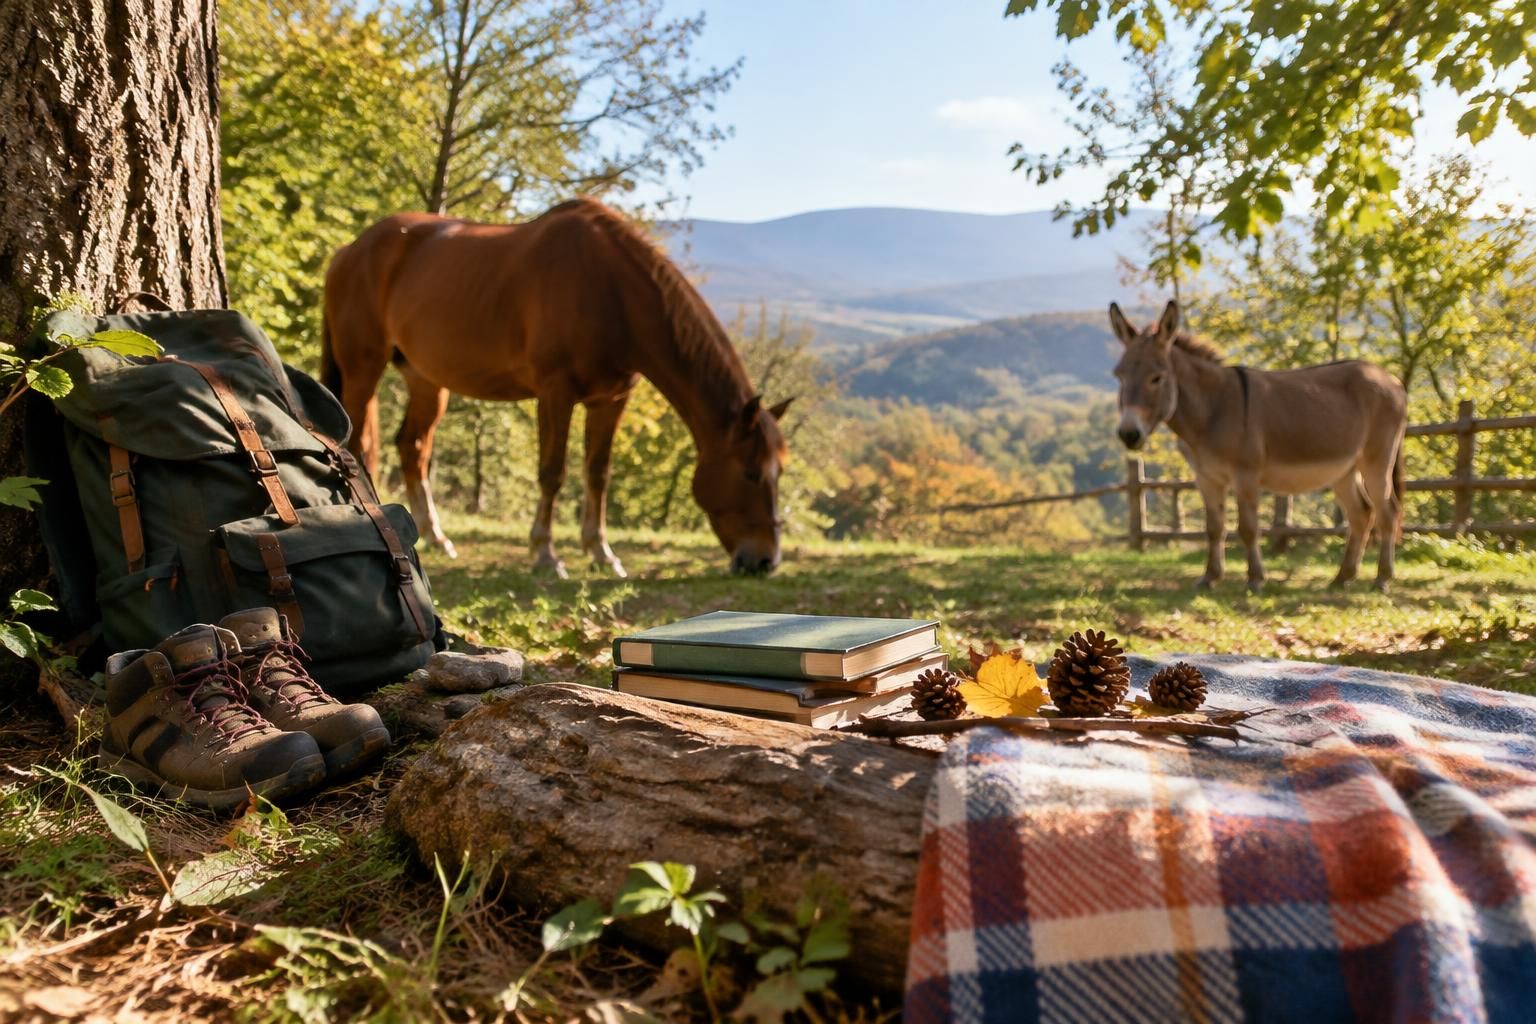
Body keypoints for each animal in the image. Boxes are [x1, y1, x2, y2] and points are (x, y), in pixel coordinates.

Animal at [321, 198, 792, 578]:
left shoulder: (610, 400)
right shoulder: (556, 393)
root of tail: (349, 251)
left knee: (412, 447)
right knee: (357, 443)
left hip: (425, 379)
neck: (612, 289)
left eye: (779, 472)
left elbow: (597, 473)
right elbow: (553, 472)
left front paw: (601, 552)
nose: (765, 560)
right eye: (751, 472)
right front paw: (546, 553)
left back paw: (436, 536)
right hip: (363, 369)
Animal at [1109, 299, 1408, 592]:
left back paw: (1382, 579)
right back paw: (1342, 578)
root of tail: (1391, 379)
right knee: (1361, 514)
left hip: (1377, 461)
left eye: (1156, 378)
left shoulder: (1246, 475)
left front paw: (1254, 579)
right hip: (1344, 470)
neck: (1212, 411)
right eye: (1119, 377)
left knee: (1387, 512)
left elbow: (1248, 528)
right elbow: (1214, 528)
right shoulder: (1206, 478)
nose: (1129, 435)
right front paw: (1209, 578)